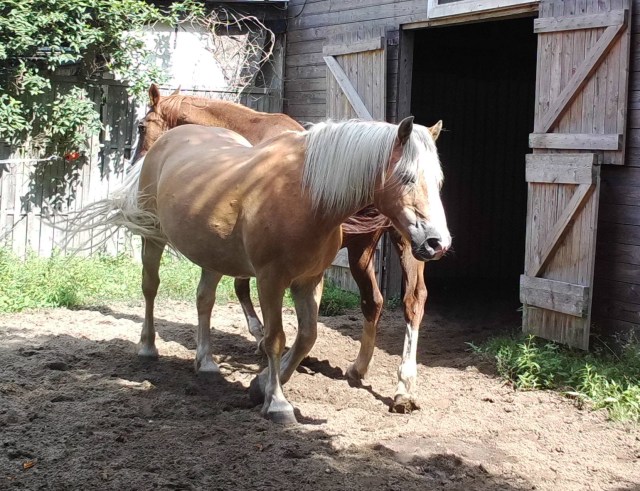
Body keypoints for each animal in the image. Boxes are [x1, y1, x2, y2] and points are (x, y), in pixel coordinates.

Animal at [82, 117, 450, 424]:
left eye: (439, 182)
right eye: (406, 178)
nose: (437, 243)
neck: (305, 195)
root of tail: (168, 141)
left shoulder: (308, 281)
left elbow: (306, 337)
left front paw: (259, 386)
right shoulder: (270, 280)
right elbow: (276, 338)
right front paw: (277, 403)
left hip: (213, 254)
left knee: (204, 300)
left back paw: (207, 363)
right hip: (153, 237)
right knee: (150, 288)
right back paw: (147, 348)